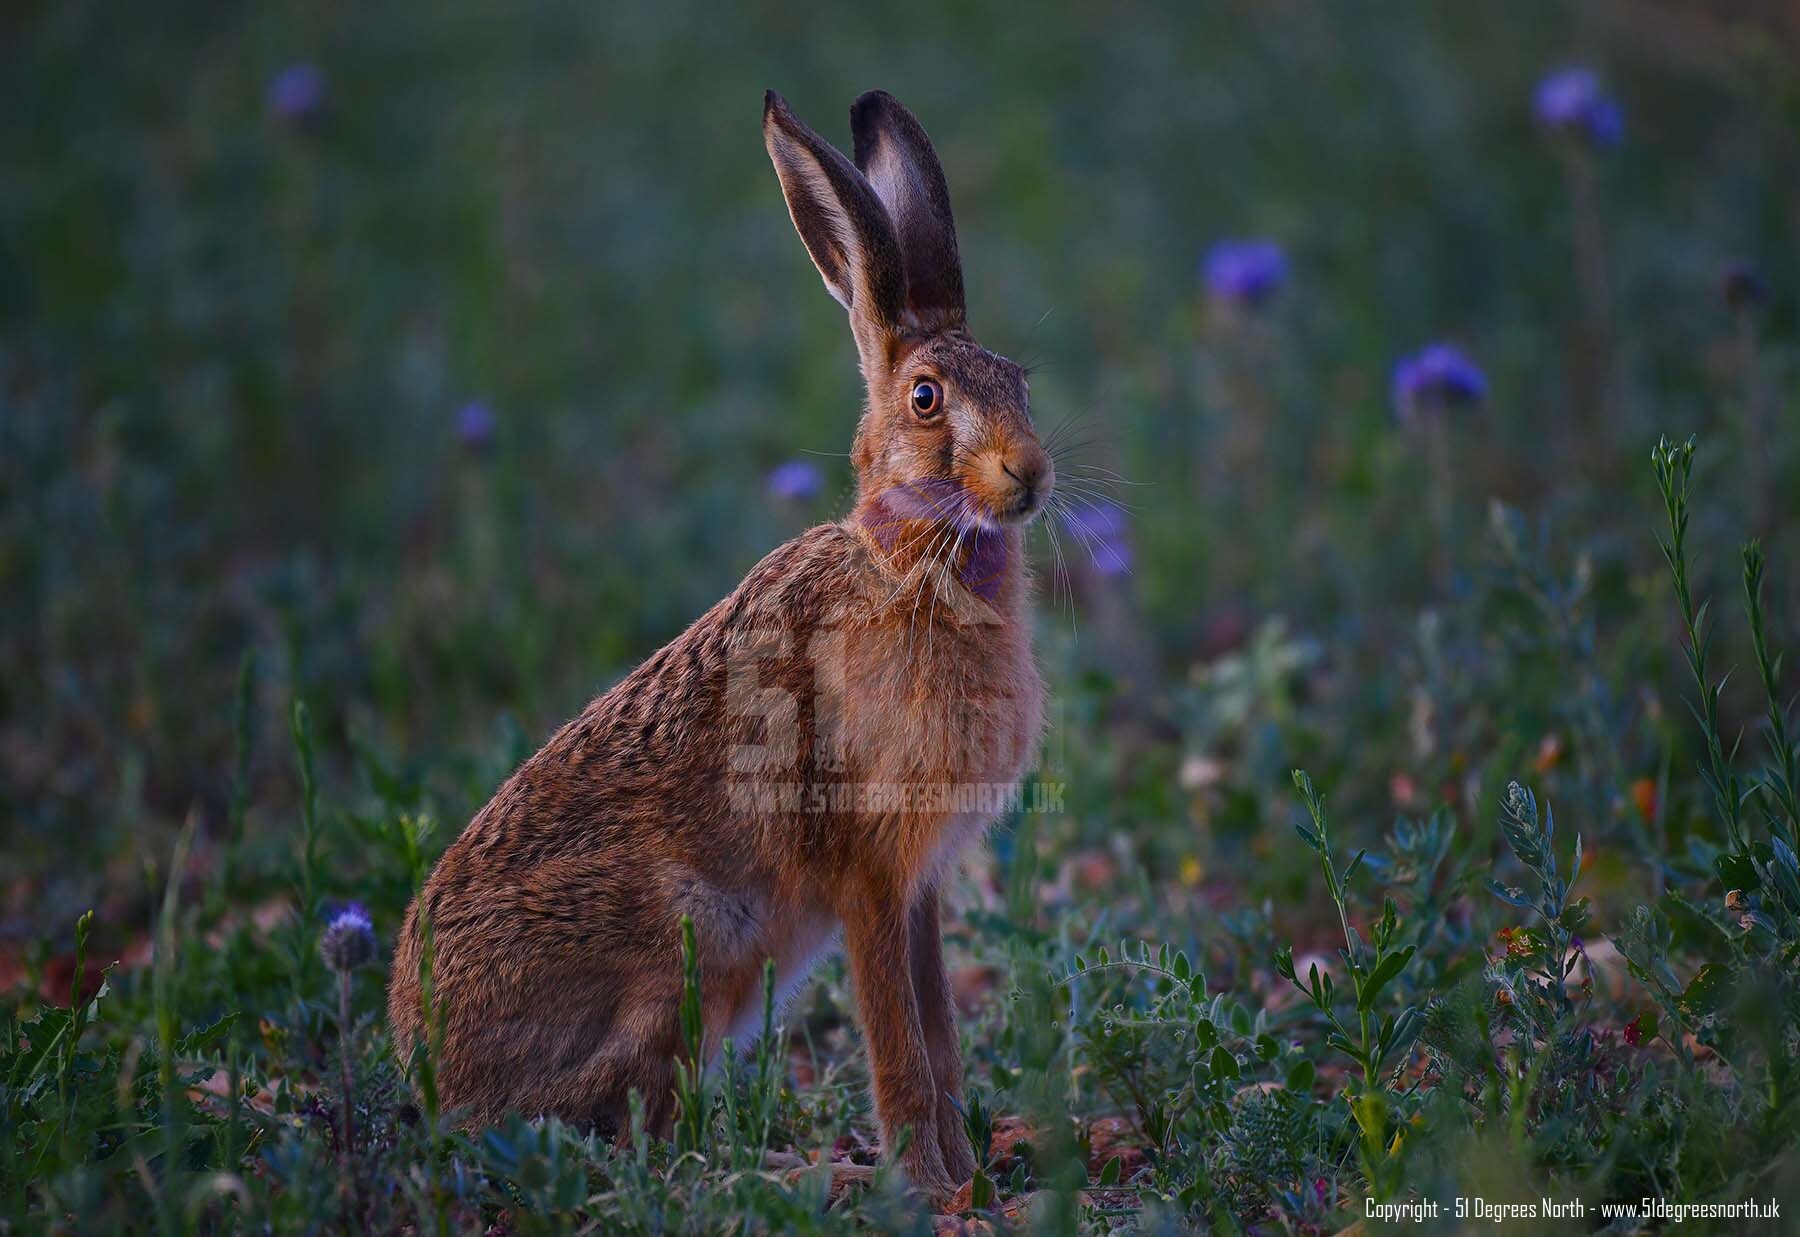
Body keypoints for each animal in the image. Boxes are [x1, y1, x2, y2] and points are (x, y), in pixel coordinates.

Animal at [388, 88, 1053, 1202]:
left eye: (1020, 380)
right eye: (926, 398)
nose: (1030, 474)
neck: (909, 558)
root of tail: (421, 1061)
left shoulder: (918, 887)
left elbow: (941, 1036)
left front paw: (968, 1180)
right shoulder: (868, 872)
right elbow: (899, 1047)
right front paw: (926, 1186)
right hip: (692, 940)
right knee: (609, 1125)